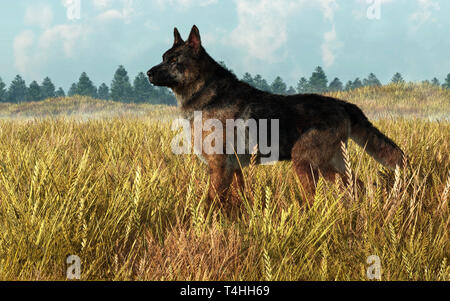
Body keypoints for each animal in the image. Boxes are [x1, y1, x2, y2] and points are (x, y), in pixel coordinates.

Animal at [149, 25, 404, 213]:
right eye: (163, 57)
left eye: (174, 61)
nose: (148, 73)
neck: (208, 95)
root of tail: (343, 104)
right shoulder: (233, 169)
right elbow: (236, 199)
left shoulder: (219, 167)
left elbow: (210, 203)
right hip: (330, 164)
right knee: (357, 186)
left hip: (305, 164)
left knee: (326, 195)